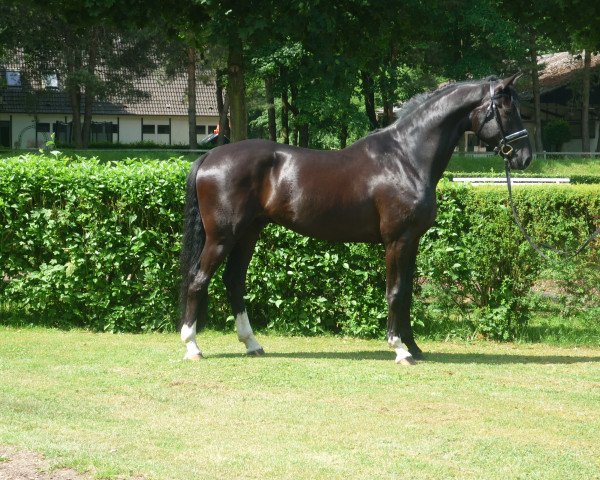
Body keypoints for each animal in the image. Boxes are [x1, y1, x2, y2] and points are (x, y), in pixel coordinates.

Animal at [177, 74, 528, 364]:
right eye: (507, 110)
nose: (525, 158)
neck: (406, 157)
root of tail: (210, 156)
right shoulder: (396, 240)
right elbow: (395, 291)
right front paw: (399, 349)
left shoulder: (412, 241)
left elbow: (407, 294)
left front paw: (414, 347)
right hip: (222, 237)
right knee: (198, 280)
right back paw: (192, 347)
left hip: (248, 233)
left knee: (234, 280)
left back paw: (252, 344)